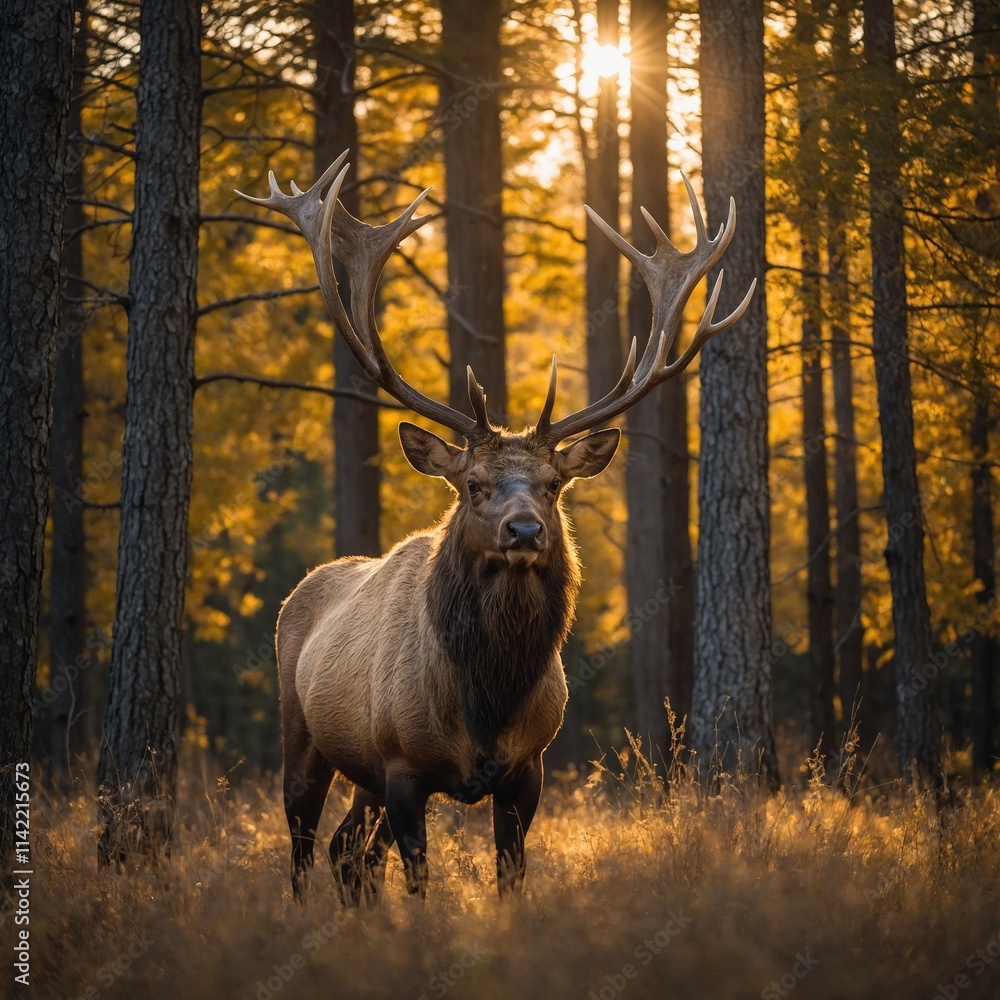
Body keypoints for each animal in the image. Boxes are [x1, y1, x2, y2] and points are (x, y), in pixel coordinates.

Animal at [237, 150, 754, 904]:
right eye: (474, 485)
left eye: (552, 486)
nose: (525, 532)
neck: (485, 706)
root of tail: (303, 588)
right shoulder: (402, 766)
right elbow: (419, 881)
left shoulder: (528, 770)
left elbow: (511, 876)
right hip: (303, 733)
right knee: (305, 845)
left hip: (363, 780)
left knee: (347, 851)